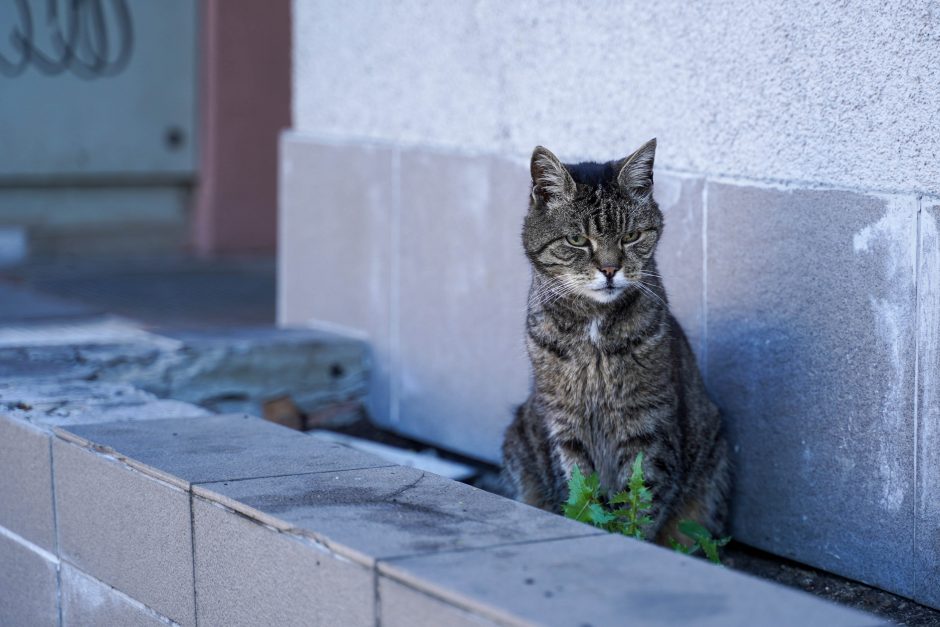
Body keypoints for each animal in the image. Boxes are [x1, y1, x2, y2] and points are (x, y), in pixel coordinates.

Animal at [504, 140, 732, 544]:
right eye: (577, 240)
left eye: (630, 237)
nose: (610, 269)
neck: (594, 329)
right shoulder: (564, 425)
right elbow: (578, 488)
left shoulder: (647, 424)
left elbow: (641, 501)